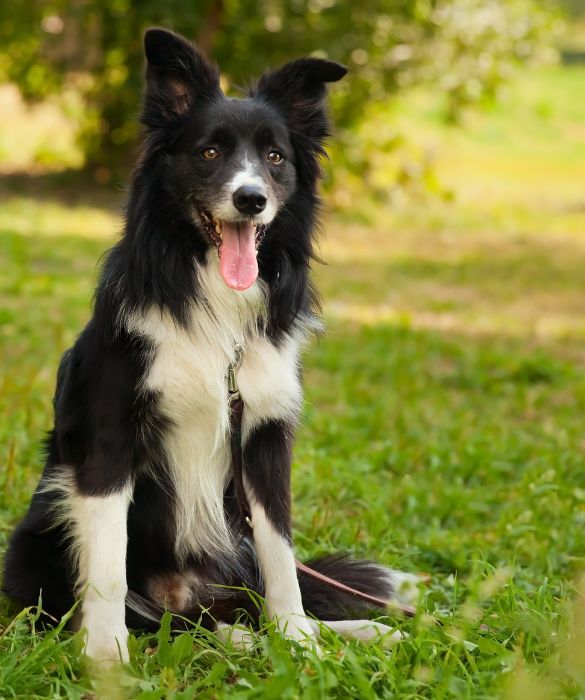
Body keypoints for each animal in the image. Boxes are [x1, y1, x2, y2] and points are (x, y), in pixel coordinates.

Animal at [2, 27, 412, 660]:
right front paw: (107, 660)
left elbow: (282, 560)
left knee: (237, 604)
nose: (251, 199)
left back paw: (343, 631)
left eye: (275, 157)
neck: (217, 309)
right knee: (161, 616)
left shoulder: (265, 438)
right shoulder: (109, 439)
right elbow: (107, 568)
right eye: (210, 153)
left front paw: (300, 643)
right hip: (38, 535)